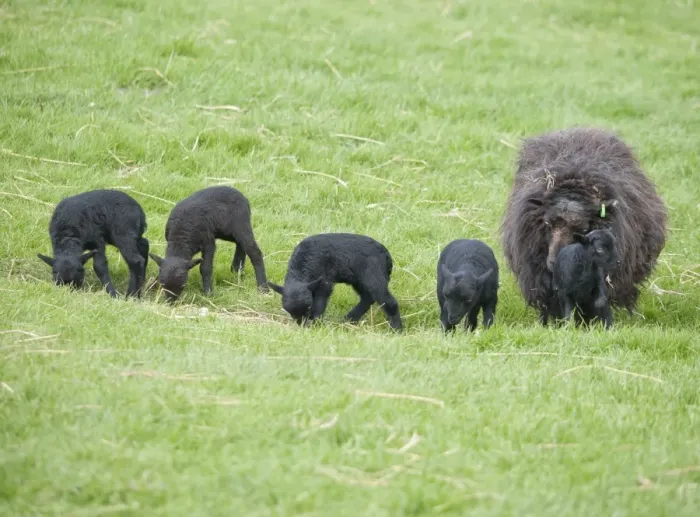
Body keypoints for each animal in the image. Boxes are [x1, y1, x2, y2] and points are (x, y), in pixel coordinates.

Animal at [268, 233, 403, 331]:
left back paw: (397, 329)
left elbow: (320, 302)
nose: (302, 325)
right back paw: (349, 319)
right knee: (368, 297)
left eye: (308, 306)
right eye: (289, 311)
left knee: (388, 301)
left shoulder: (324, 282)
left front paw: (316, 321)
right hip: (358, 279)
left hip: (373, 274)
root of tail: (387, 255)